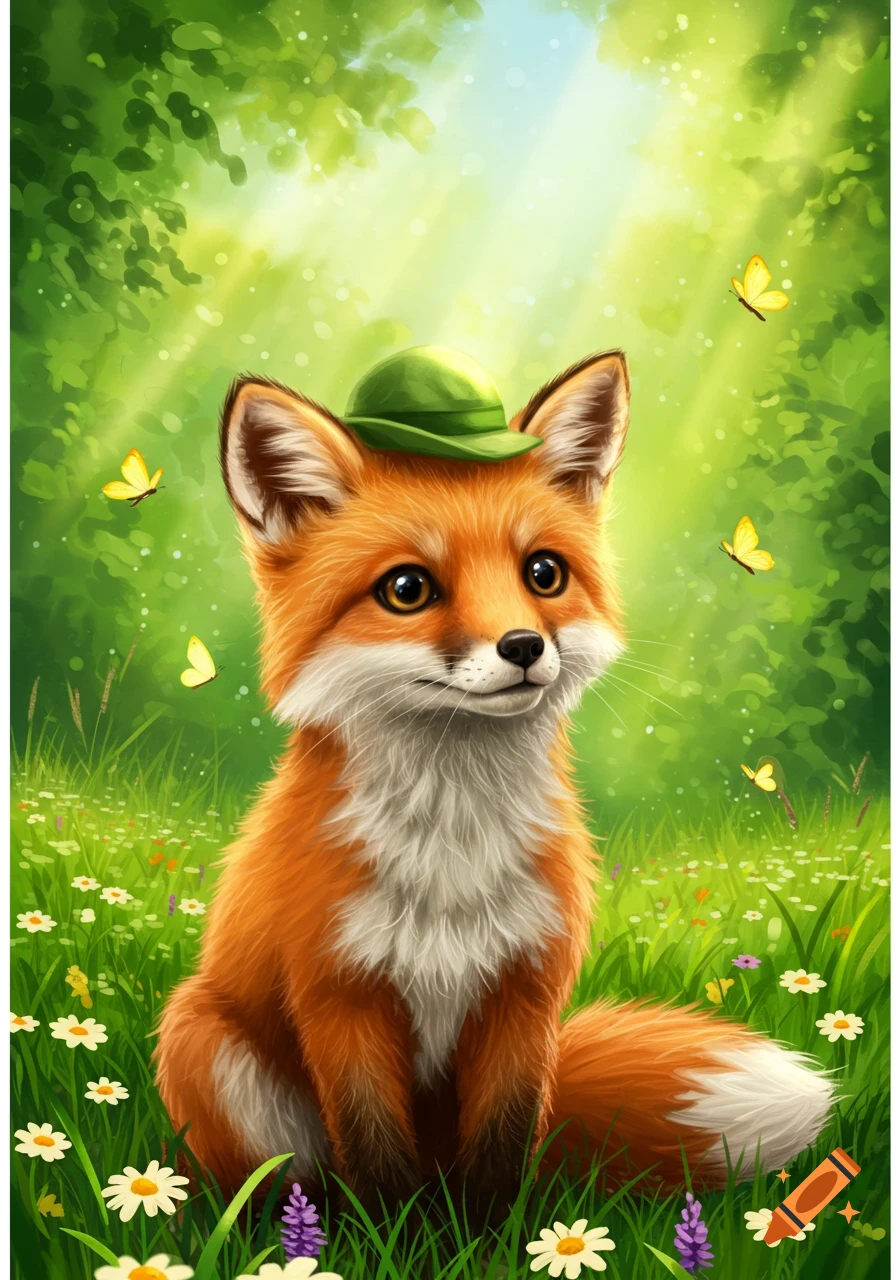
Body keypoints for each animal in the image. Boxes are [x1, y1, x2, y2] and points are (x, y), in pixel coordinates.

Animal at [154, 347, 833, 1219]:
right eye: (407, 588)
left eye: (543, 572)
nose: (522, 646)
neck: (453, 848)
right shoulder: (342, 997)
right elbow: (377, 1164)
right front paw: (393, 1241)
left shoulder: (524, 993)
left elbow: (500, 1162)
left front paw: (494, 1238)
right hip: (208, 1040)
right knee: (281, 1183)